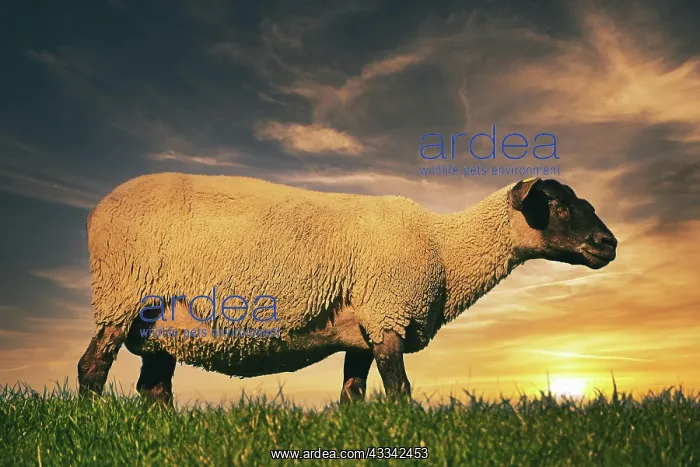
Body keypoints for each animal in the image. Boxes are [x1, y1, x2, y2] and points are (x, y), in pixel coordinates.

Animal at [77, 174, 617, 405]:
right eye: (555, 204)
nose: (608, 244)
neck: (444, 249)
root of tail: (98, 208)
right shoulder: (389, 310)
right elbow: (400, 389)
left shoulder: (365, 325)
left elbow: (352, 395)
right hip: (124, 294)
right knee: (91, 369)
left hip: (164, 323)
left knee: (154, 389)